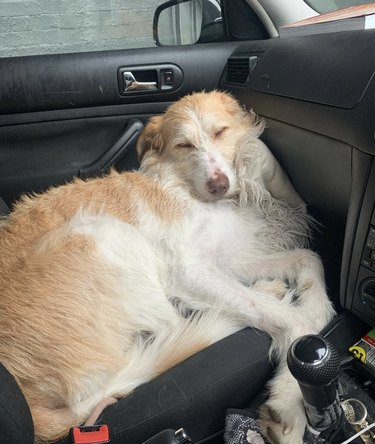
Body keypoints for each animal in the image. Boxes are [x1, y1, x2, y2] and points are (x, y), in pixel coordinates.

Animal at [0, 91, 334, 444]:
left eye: (220, 131)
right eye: (183, 145)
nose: (219, 185)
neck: (185, 186)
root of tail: (35, 412)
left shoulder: (226, 259)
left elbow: (308, 258)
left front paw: (318, 310)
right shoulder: (188, 270)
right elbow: (292, 321)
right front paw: (289, 400)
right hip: (104, 233)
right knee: (177, 323)